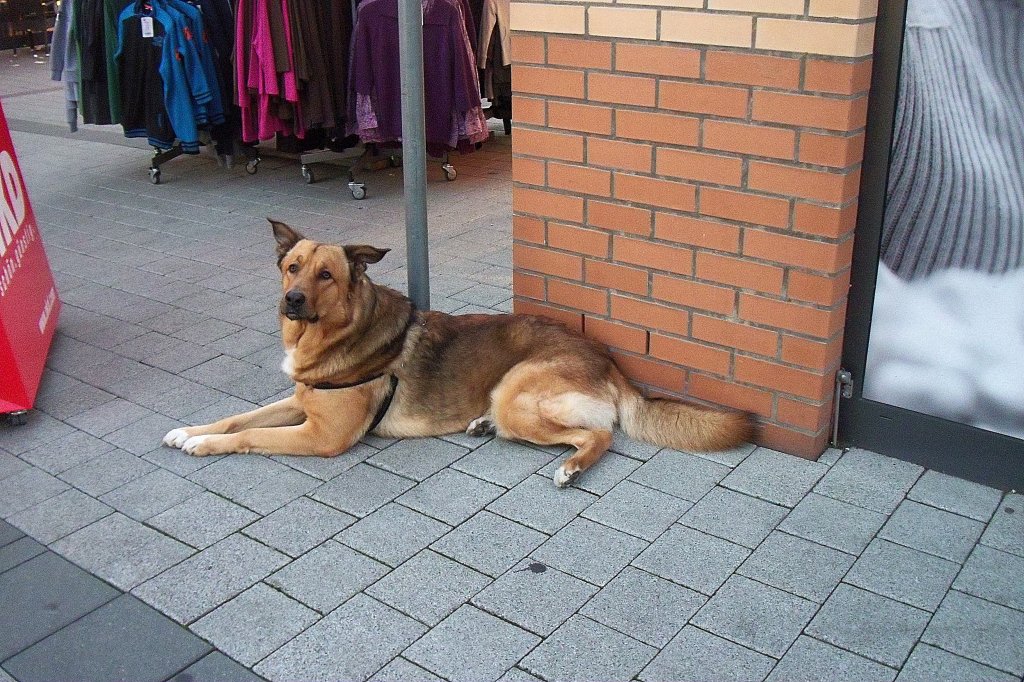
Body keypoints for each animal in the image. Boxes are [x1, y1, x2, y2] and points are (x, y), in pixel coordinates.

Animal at [161, 220, 753, 485]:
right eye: (292, 267)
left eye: (325, 274)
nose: (292, 300)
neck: (337, 334)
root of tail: (608, 360)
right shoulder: (301, 402)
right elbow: (239, 417)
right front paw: (189, 430)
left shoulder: (321, 435)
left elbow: (251, 436)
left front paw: (204, 445)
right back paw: (483, 425)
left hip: (517, 392)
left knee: (600, 435)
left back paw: (571, 466)